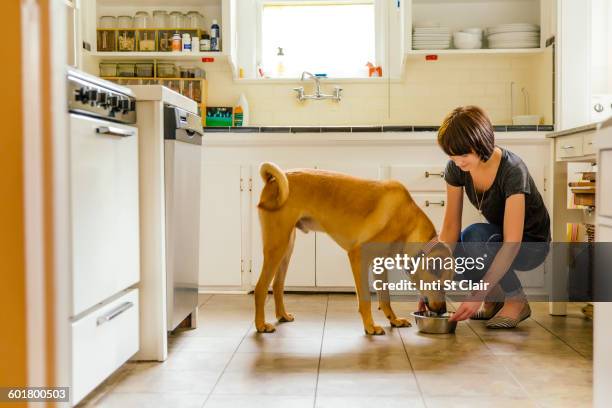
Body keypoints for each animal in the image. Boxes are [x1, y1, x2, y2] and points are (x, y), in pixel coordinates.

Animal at [255, 163, 454, 334]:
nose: (441, 311)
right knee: (261, 288)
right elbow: (365, 299)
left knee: (277, 285)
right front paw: (370, 327)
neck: (408, 224)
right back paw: (261, 325)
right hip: (277, 246)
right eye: (439, 285)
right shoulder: (358, 256)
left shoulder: (380, 264)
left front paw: (394, 320)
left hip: (287, 247)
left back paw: (282, 315)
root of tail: (273, 180)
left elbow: (385, 297)